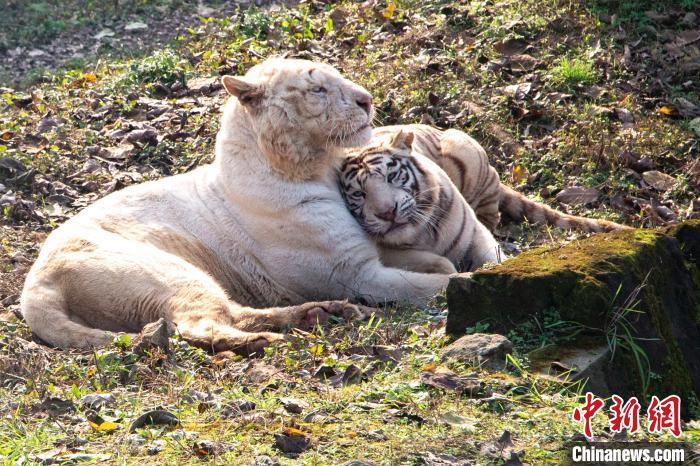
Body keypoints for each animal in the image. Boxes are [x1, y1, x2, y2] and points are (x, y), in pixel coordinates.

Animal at [340, 128, 504, 274]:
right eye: (359, 193)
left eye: (391, 176)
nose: (388, 213)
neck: (421, 236)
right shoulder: (388, 253)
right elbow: (441, 263)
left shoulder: (474, 232)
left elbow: (494, 258)